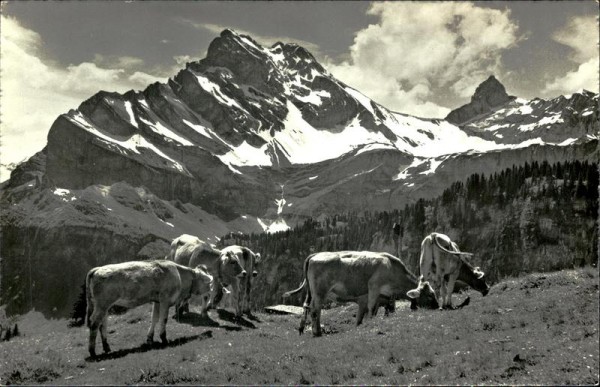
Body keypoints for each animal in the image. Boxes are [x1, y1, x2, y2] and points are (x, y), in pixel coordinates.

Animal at [85, 260, 213, 360]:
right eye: (209, 284)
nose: (210, 294)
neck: (180, 277)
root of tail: (97, 269)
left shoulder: (157, 301)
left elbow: (154, 319)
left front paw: (150, 338)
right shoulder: (165, 300)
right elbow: (163, 319)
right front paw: (164, 339)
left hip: (104, 306)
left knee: (103, 324)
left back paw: (106, 347)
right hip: (102, 304)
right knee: (94, 323)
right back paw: (92, 352)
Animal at [282, 252, 440, 336]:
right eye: (430, 295)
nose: (438, 307)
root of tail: (316, 254)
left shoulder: (378, 297)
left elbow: (364, 315)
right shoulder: (373, 288)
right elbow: (371, 309)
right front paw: (370, 325)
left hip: (311, 292)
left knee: (306, 307)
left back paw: (302, 329)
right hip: (320, 292)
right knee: (315, 310)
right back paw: (317, 333)